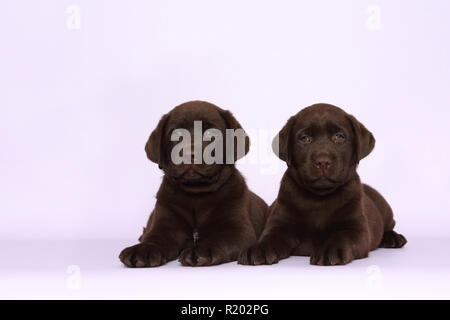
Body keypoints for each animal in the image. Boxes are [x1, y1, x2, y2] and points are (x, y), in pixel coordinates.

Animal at [118, 100, 268, 268]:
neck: (196, 195)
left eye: (210, 134)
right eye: (176, 134)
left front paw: (203, 250)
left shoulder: (239, 230)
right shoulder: (164, 224)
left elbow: (218, 237)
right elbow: (155, 238)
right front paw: (143, 249)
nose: (189, 154)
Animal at [241, 104, 406, 266]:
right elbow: (270, 237)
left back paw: (393, 238)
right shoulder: (280, 224)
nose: (322, 161)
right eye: (305, 138)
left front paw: (329, 250)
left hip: (383, 205)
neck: (319, 198)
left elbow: (341, 237)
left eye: (339, 137)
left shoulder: (356, 229)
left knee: (389, 225)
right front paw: (259, 248)